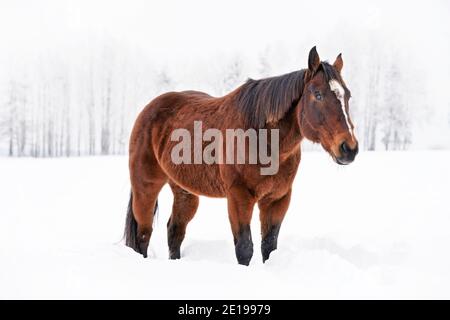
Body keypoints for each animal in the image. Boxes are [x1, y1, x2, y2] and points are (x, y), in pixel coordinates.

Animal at [123, 47, 358, 264]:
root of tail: (149, 109)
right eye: (317, 94)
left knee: (175, 231)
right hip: (146, 186)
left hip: (184, 191)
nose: (349, 148)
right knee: (143, 234)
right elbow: (245, 248)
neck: (263, 139)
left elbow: (268, 247)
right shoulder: (239, 196)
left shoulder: (278, 199)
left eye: (347, 95)